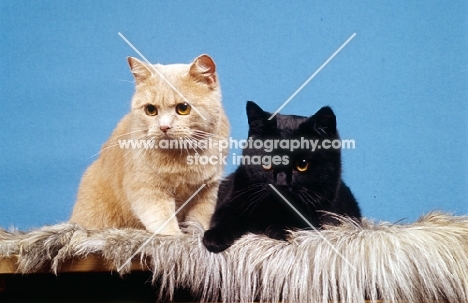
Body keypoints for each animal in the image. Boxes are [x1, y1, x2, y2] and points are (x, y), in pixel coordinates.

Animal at [69, 54, 229, 235]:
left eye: (183, 108)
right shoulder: (147, 188)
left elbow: (199, 219)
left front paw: (195, 234)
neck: (181, 158)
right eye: (151, 110)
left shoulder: (207, 191)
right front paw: (175, 236)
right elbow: (162, 217)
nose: (164, 127)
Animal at [202, 102, 362, 254]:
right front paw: (215, 238)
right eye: (267, 161)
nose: (281, 182)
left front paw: (277, 229)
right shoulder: (230, 201)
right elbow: (227, 218)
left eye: (302, 164)